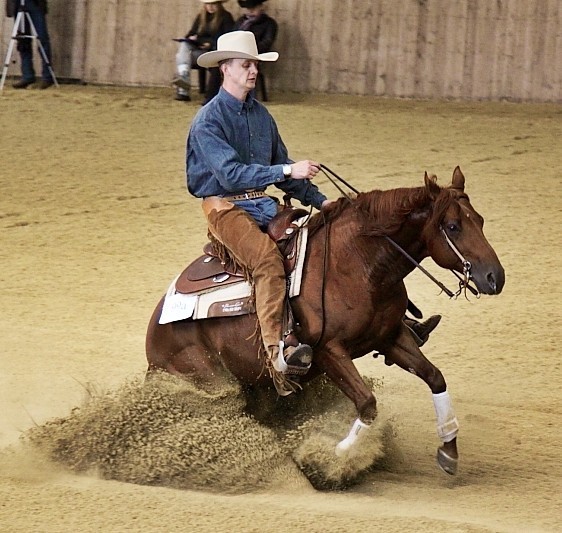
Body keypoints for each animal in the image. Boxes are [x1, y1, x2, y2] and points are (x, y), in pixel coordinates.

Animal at [144, 166, 504, 474]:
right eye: (453, 226)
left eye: (481, 220)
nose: (495, 277)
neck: (357, 263)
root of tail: (153, 334)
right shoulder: (329, 351)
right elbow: (367, 403)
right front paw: (337, 457)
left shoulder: (390, 337)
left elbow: (435, 377)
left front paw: (448, 450)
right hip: (204, 379)